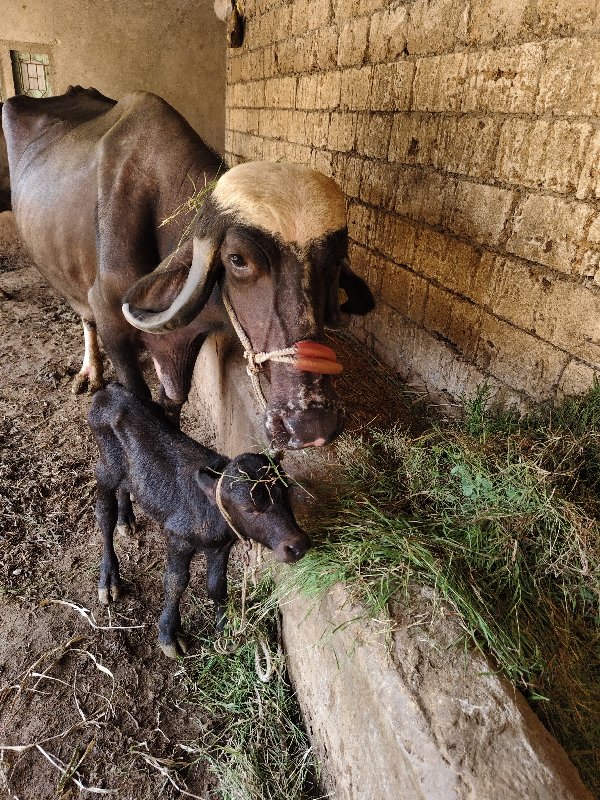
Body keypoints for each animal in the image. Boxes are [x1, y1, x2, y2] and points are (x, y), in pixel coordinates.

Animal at [2, 89, 372, 450]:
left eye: (335, 261)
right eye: (237, 259)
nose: (311, 425)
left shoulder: (184, 341)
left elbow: (172, 401)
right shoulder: (112, 324)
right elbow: (139, 403)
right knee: (84, 317)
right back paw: (90, 372)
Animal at [90, 386, 314, 656]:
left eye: (286, 491)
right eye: (248, 508)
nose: (297, 545)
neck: (212, 512)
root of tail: (111, 392)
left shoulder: (221, 546)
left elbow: (217, 585)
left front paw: (225, 628)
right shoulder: (178, 538)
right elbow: (175, 582)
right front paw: (169, 636)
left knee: (126, 487)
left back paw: (127, 520)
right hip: (105, 469)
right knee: (104, 516)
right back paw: (109, 578)